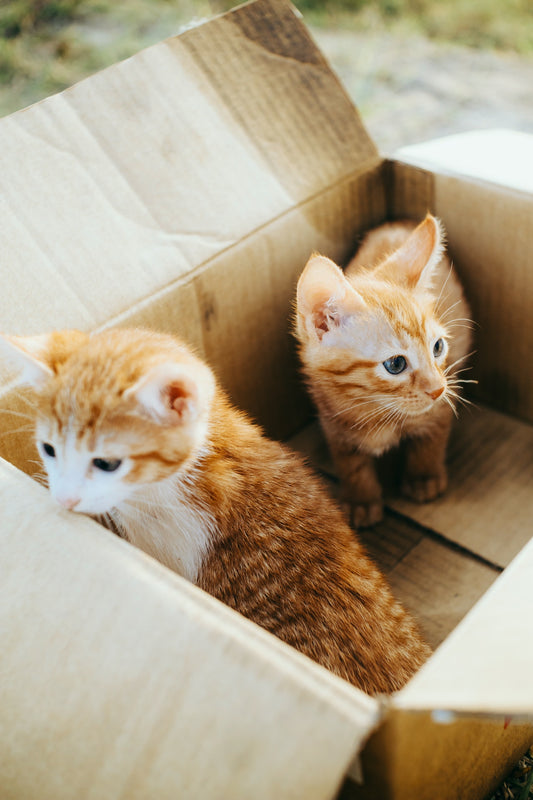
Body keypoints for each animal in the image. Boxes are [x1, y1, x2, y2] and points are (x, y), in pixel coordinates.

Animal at [294, 212, 472, 528]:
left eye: (437, 347)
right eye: (396, 364)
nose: (438, 389)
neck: (372, 409)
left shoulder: (441, 403)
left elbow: (432, 436)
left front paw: (424, 476)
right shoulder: (332, 422)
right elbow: (350, 462)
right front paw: (360, 500)